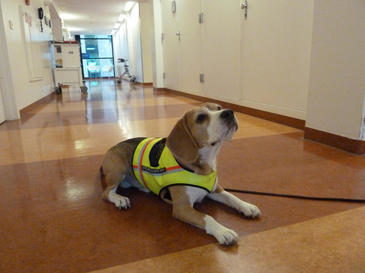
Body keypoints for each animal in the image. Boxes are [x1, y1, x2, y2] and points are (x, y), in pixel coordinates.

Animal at [101, 102, 260, 244]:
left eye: (219, 107)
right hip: (118, 168)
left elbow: (232, 197)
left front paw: (247, 206)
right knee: (106, 193)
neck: (202, 168)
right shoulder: (181, 208)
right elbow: (207, 217)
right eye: (201, 117)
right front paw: (223, 231)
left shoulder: (215, 190)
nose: (229, 112)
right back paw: (120, 199)